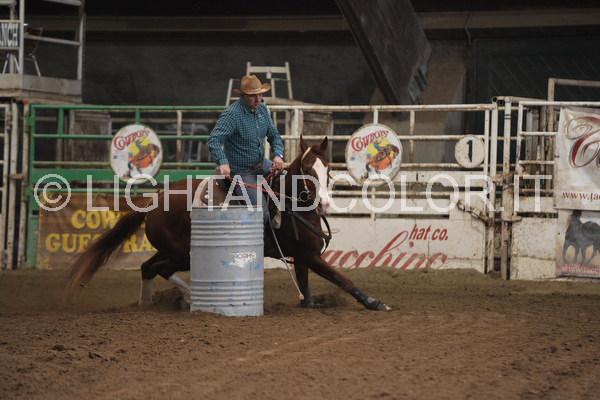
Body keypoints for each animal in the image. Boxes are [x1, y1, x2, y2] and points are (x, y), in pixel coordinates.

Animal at [66, 136, 391, 311]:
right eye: (307, 170)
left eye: (328, 169)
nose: (323, 203)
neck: (290, 205)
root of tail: (155, 202)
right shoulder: (308, 255)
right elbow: (342, 279)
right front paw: (375, 302)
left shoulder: (303, 256)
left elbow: (306, 286)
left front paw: (310, 303)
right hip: (182, 254)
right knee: (160, 269)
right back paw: (187, 297)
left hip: (170, 249)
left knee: (148, 267)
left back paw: (148, 305)